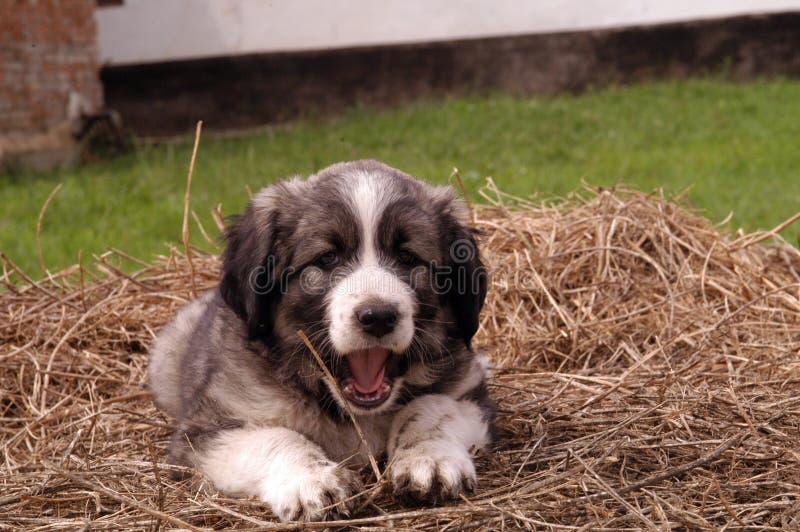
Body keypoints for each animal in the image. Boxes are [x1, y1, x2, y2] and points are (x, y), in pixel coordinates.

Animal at [146, 160, 490, 520]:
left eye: (408, 257)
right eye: (327, 258)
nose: (378, 315)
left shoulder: (468, 392)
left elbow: (432, 409)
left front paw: (429, 458)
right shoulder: (207, 430)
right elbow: (276, 438)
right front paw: (311, 480)